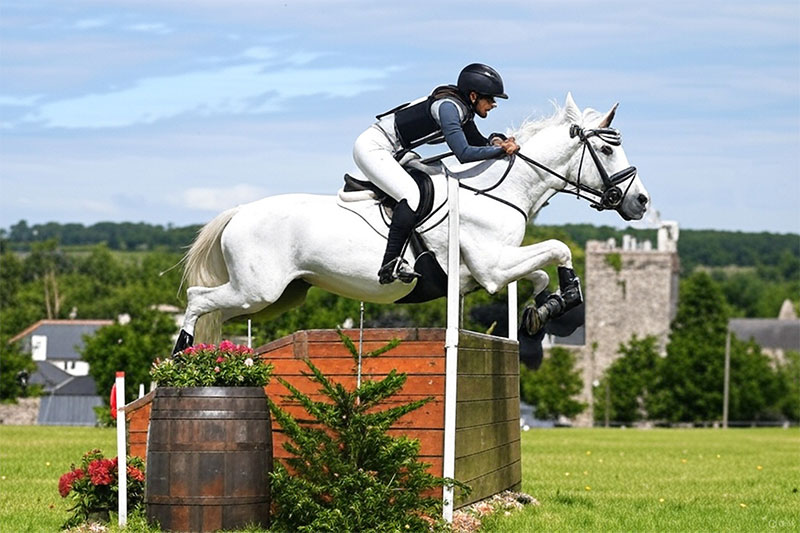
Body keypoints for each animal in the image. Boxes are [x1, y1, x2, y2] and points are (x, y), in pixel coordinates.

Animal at [171, 93, 649, 355]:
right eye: (607, 151)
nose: (641, 202)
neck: (498, 190)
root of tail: (239, 212)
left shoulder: (487, 271)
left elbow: (538, 273)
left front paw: (542, 311)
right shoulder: (493, 266)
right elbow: (559, 249)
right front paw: (567, 297)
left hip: (277, 297)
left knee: (217, 310)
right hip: (258, 290)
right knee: (196, 300)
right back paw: (179, 357)